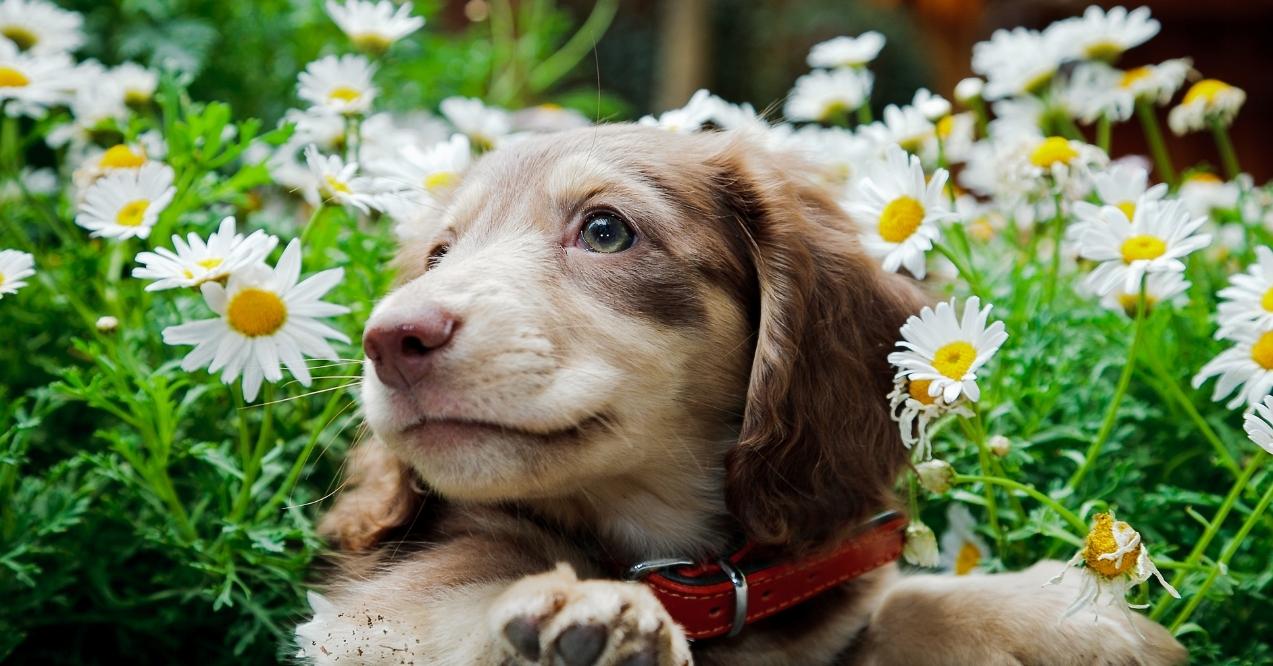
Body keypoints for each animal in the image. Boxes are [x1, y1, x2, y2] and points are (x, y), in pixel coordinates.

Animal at [295, 126, 1181, 666]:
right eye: (437, 255)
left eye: (606, 230)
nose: (389, 340)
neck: (679, 571)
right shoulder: (380, 609)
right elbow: (457, 600)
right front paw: (580, 618)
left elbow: (904, 603)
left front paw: (1068, 616)